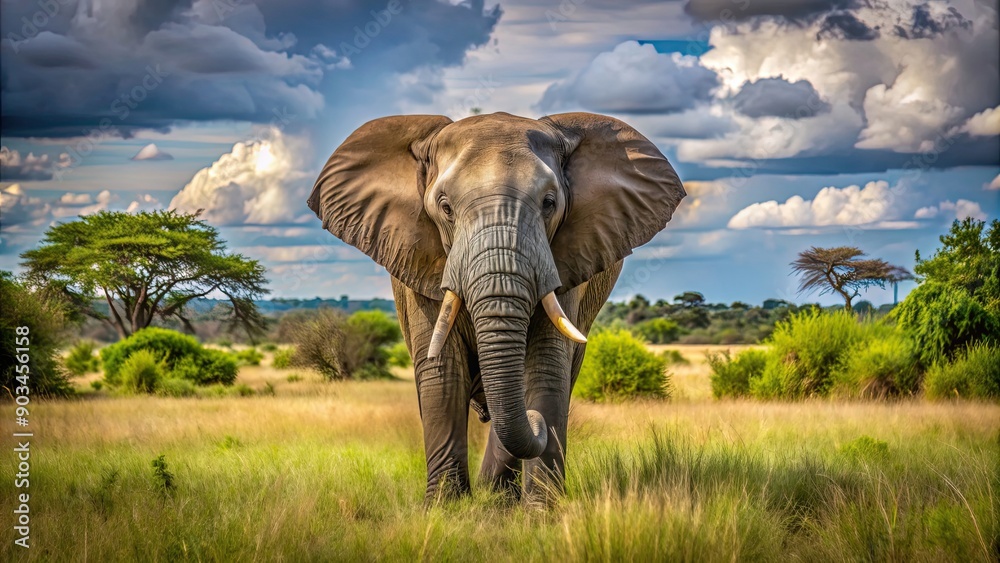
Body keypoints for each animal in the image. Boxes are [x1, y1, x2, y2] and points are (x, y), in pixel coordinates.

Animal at [307, 111, 685, 503]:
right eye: (445, 207)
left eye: (549, 203)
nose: (534, 421)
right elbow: (441, 372)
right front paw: (444, 508)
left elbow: (546, 366)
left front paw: (540, 510)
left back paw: (498, 497)